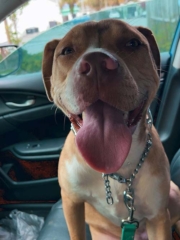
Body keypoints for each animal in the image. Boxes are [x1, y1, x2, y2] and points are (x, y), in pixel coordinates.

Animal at [42, 19, 180, 239]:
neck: (115, 169)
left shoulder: (159, 218)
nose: (97, 63)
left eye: (132, 43)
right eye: (67, 50)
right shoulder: (71, 201)